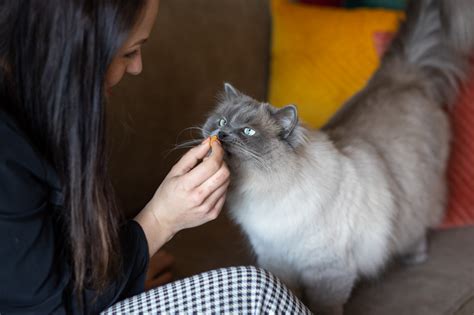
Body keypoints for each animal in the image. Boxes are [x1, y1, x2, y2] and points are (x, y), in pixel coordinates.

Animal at [201, 1, 474, 314]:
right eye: (222, 122)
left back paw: (414, 257)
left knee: (419, 225)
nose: (221, 135)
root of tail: (401, 76)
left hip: (419, 194)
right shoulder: (278, 263)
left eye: (247, 131)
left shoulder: (326, 271)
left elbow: (324, 306)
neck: (263, 195)